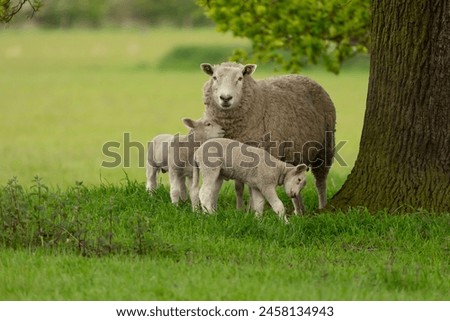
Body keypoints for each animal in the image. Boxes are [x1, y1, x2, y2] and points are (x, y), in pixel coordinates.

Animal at [202, 61, 336, 209]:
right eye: (214, 77)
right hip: (294, 154)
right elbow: (239, 186)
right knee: (295, 180)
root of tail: (305, 77)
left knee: (320, 182)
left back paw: (322, 206)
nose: (225, 98)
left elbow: (252, 187)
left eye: (240, 78)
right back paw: (300, 210)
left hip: (325, 148)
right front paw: (240, 209)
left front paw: (250, 209)